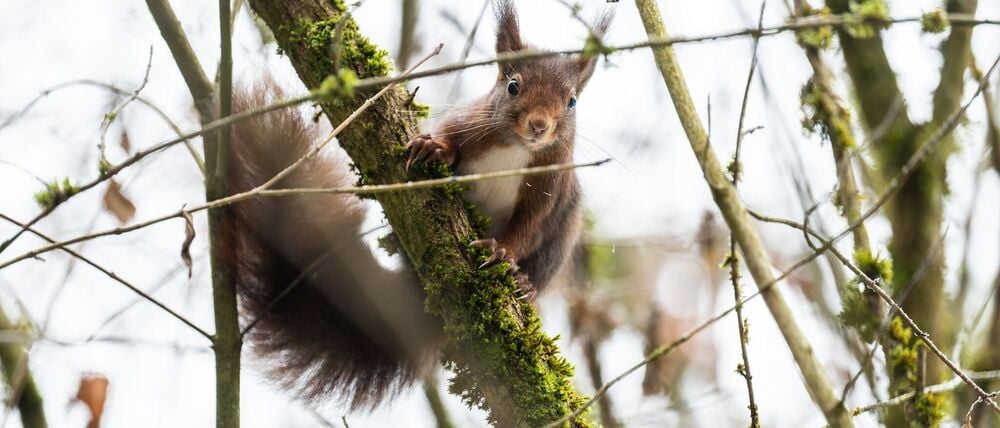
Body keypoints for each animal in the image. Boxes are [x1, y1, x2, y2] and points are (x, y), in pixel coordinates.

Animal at [221, 0, 610, 411]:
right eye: (513, 85)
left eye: (572, 101)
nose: (538, 125)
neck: (517, 149)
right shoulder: (467, 124)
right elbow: (450, 141)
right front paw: (432, 147)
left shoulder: (551, 187)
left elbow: (528, 227)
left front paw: (501, 253)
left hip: (561, 238)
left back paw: (525, 285)